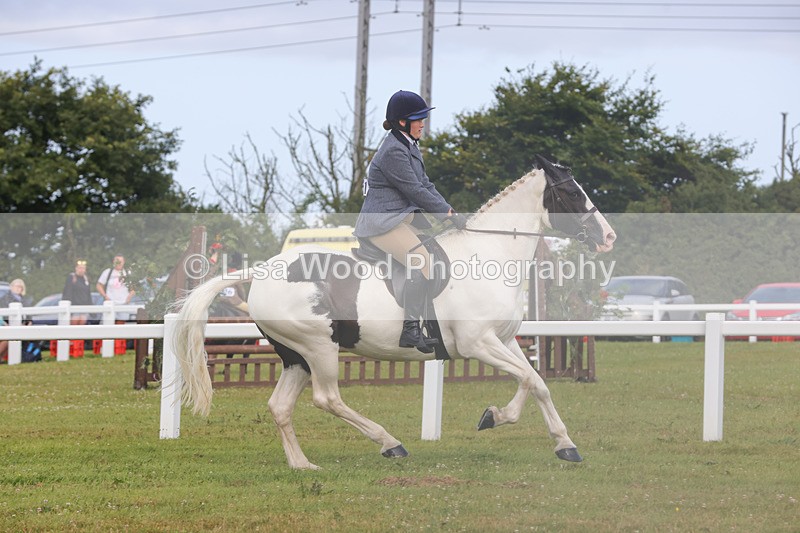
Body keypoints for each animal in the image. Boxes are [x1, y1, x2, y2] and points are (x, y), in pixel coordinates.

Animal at [173, 155, 616, 470]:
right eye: (572, 194)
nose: (608, 237)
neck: (490, 252)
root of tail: (263, 269)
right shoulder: (479, 343)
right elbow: (528, 380)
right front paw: (496, 417)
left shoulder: (504, 341)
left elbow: (536, 381)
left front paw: (563, 444)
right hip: (318, 347)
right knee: (328, 398)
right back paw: (390, 444)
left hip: (295, 355)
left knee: (281, 406)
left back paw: (303, 465)